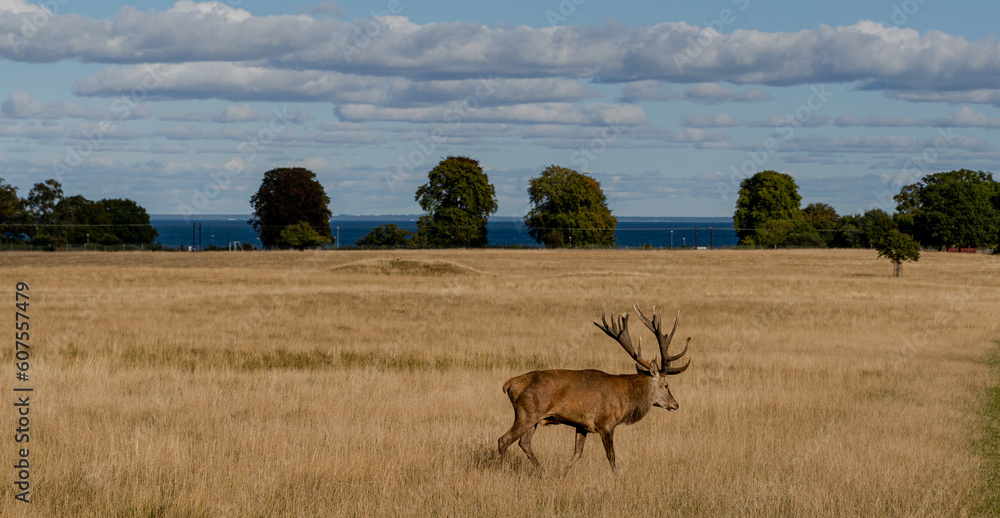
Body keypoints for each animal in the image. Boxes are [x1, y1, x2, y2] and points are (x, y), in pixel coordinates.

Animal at [497, 304, 690, 472]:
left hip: (535, 419)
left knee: (524, 443)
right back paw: (500, 471)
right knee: (504, 440)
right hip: (527, 413)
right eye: (666, 385)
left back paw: (542, 471)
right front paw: (617, 478)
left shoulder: (582, 425)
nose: (675, 404)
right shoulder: (606, 423)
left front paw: (563, 473)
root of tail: (510, 384)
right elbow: (611, 456)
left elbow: (577, 453)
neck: (626, 398)